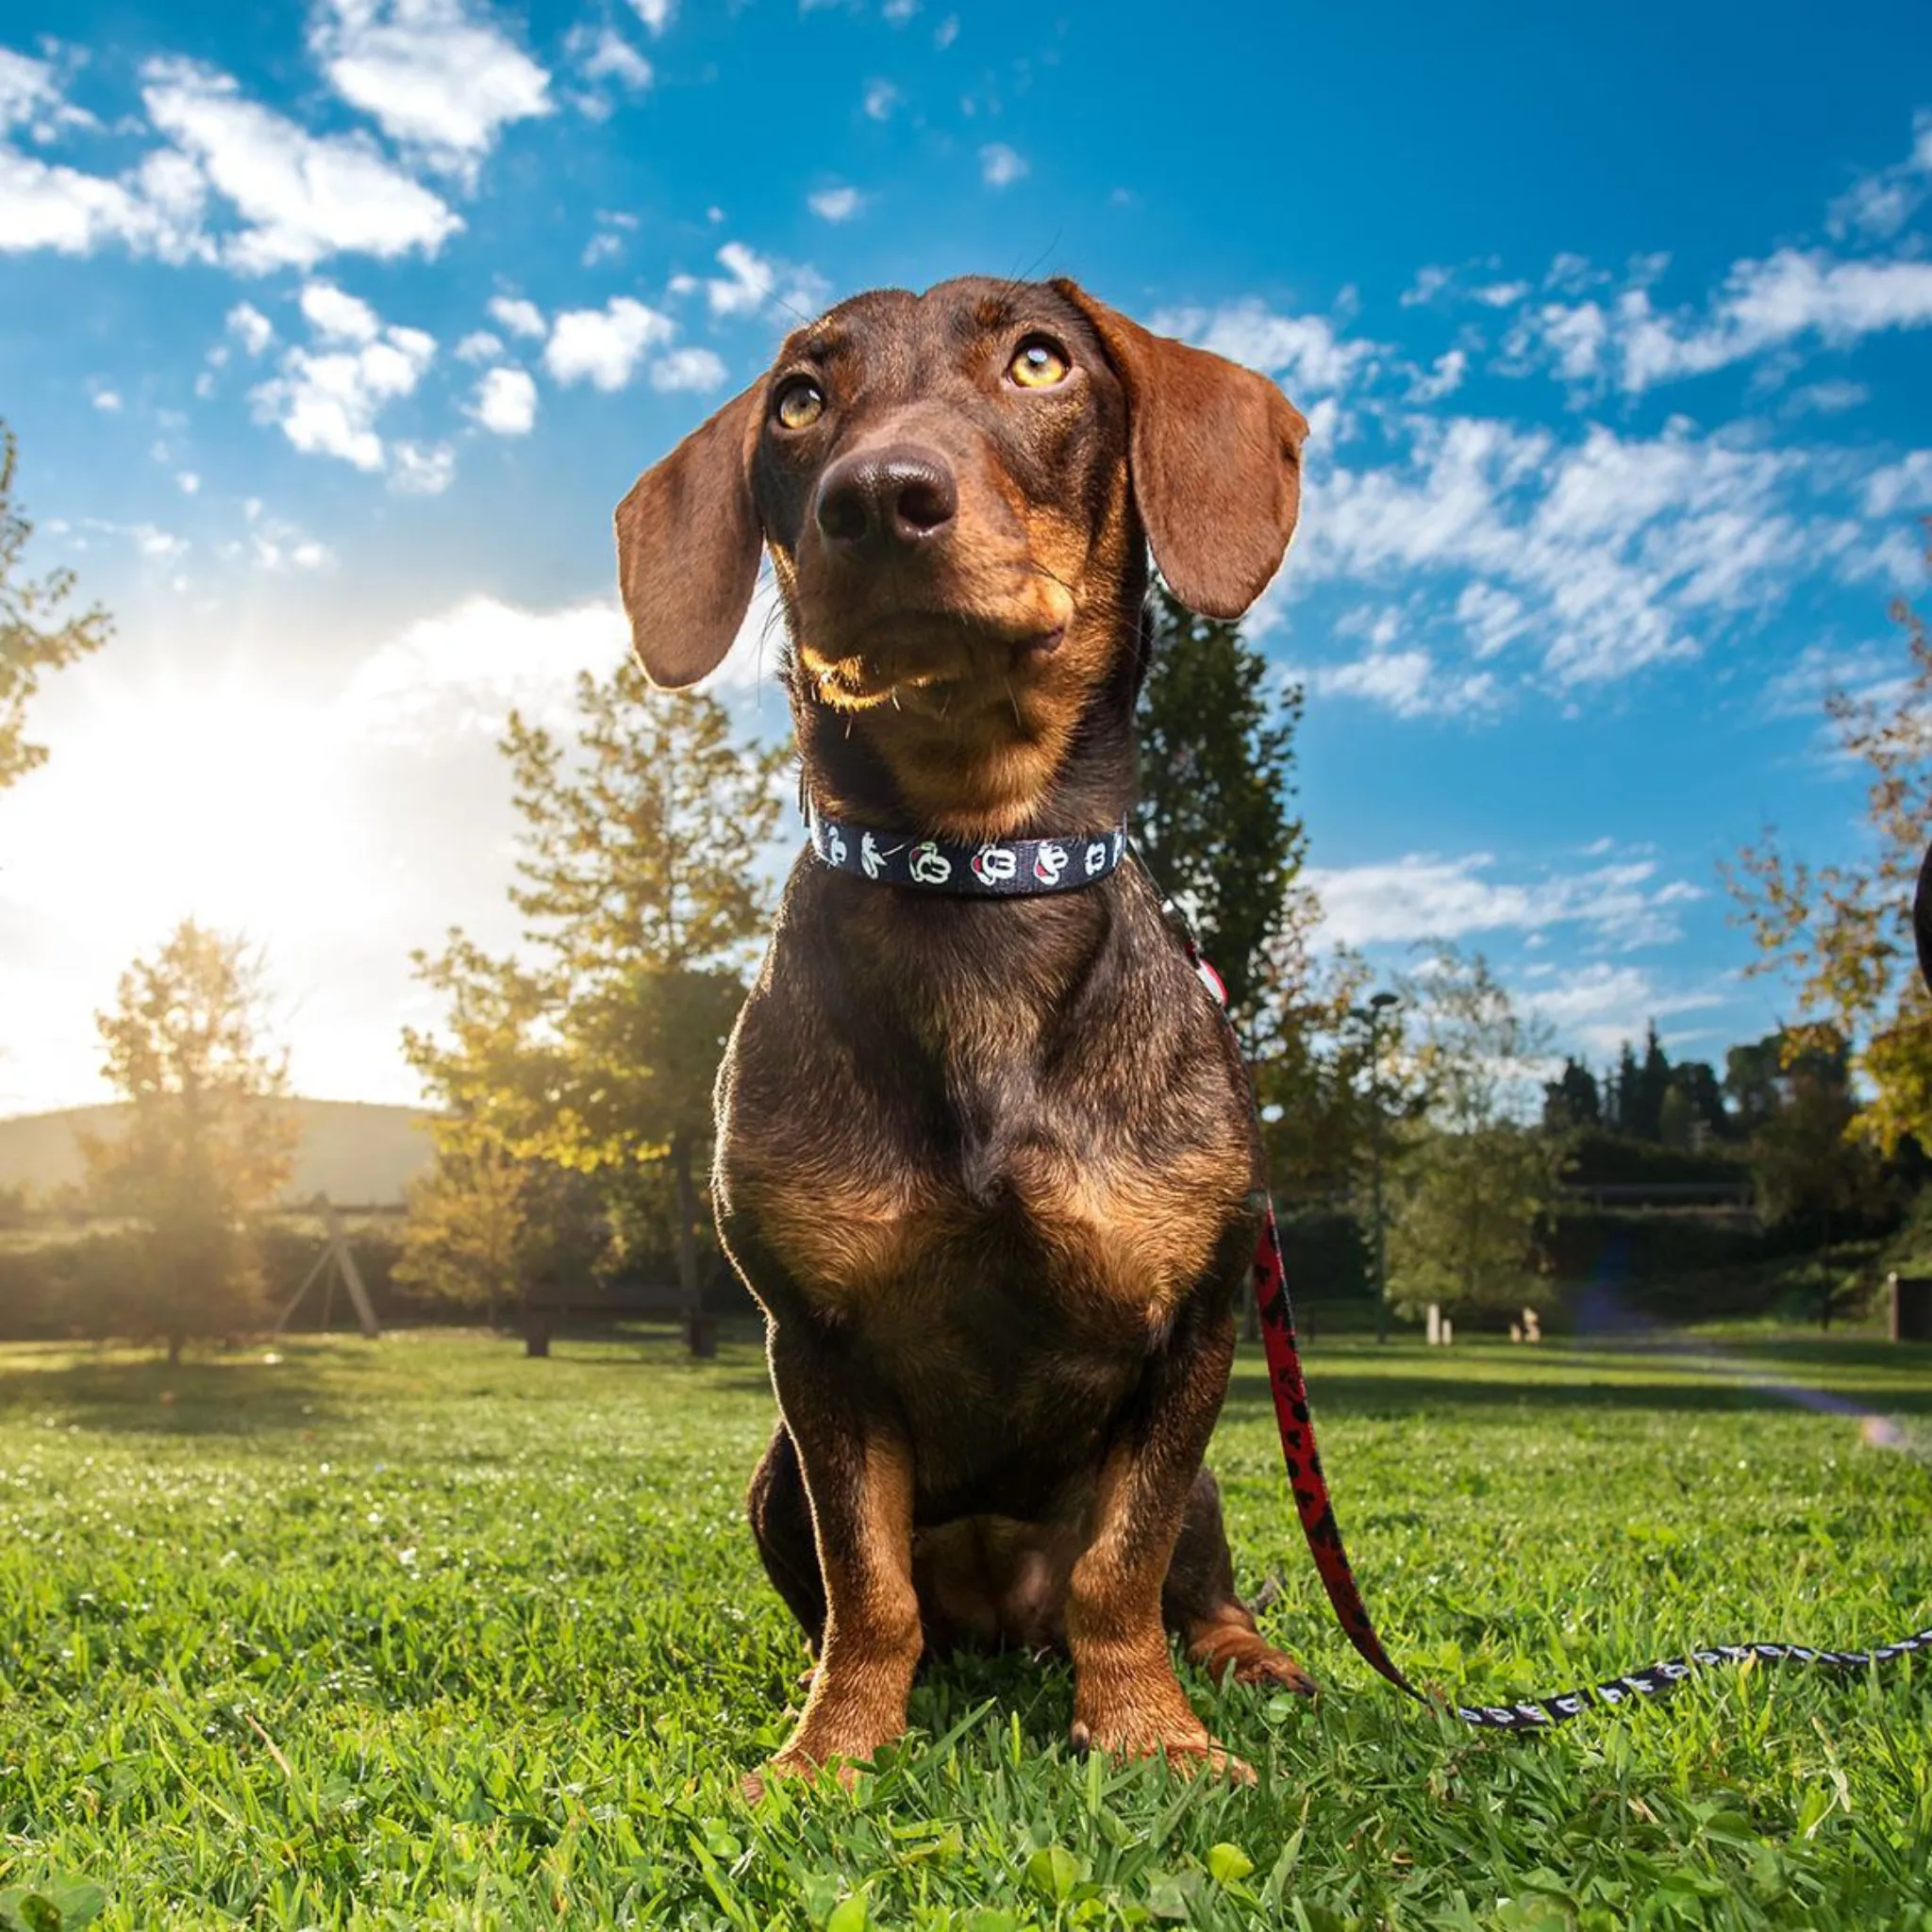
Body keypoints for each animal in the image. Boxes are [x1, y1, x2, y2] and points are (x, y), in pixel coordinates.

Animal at [614, 272, 1313, 1777]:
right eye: (798, 400)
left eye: (1041, 363)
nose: (879, 497)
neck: (972, 865)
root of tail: (1004, 1624)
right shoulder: (811, 1348)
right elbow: (868, 1585)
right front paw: (828, 1752)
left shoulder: (1196, 1330)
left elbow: (1121, 1565)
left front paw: (1150, 1734)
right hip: (769, 1474)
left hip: (1216, 1484)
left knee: (1196, 1585)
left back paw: (1245, 1661)